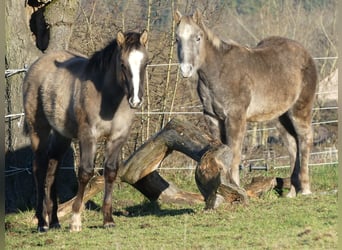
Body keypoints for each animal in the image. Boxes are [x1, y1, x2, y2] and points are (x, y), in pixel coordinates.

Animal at [22, 30, 148, 231]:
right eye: (122, 64)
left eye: (146, 63)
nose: (135, 100)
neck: (108, 98)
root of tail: (36, 66)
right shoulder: (88, 136)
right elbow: (85, 172)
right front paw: (75, 220)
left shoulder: (118, 138)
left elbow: (111, 172)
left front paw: (108, 220)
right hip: (38, 130)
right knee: (39, 168)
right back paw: (42, 223)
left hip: (61, 135)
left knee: (52, 169)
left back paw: (55, 221)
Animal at [176, 9, 318, 197]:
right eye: (177, 39)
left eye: (198, 37)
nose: (186, 69)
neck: (218, 71)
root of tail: (306, 54)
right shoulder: (212, 117)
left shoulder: (235, 117)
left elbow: (235, 154)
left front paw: (236, 187)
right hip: (281, 117)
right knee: (293, 144)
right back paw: (292, 192)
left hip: (300, 109)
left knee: (305, 139)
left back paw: (305, 189)